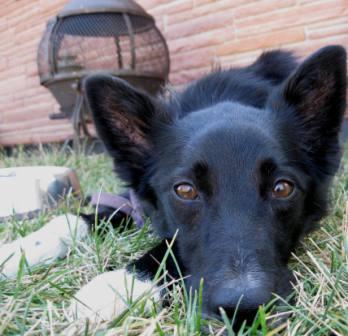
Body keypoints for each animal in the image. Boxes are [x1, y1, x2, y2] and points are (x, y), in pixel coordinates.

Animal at [83, 46, 346, 322]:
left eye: (282, 188)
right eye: (185, 190)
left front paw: (123, 281)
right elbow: (115, 206)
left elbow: (170, 245)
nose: (243, 307)